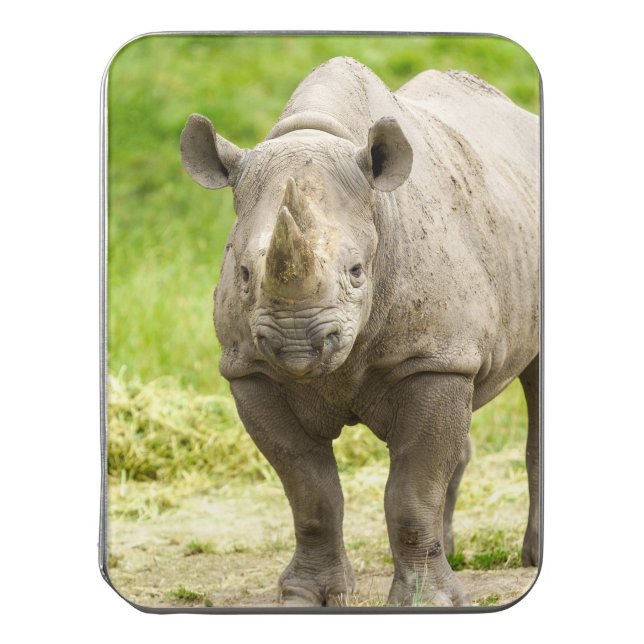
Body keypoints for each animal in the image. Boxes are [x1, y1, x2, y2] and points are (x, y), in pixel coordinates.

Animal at [180, 56, 540, 607]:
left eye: (355, 271)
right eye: (242, 273)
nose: (297, 344)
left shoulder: (430, 360)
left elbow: (411, 492)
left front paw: (425, 604)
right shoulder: (251, 369)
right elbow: (311, 493)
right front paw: (306, 597)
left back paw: (530, 559)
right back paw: (454, 555)